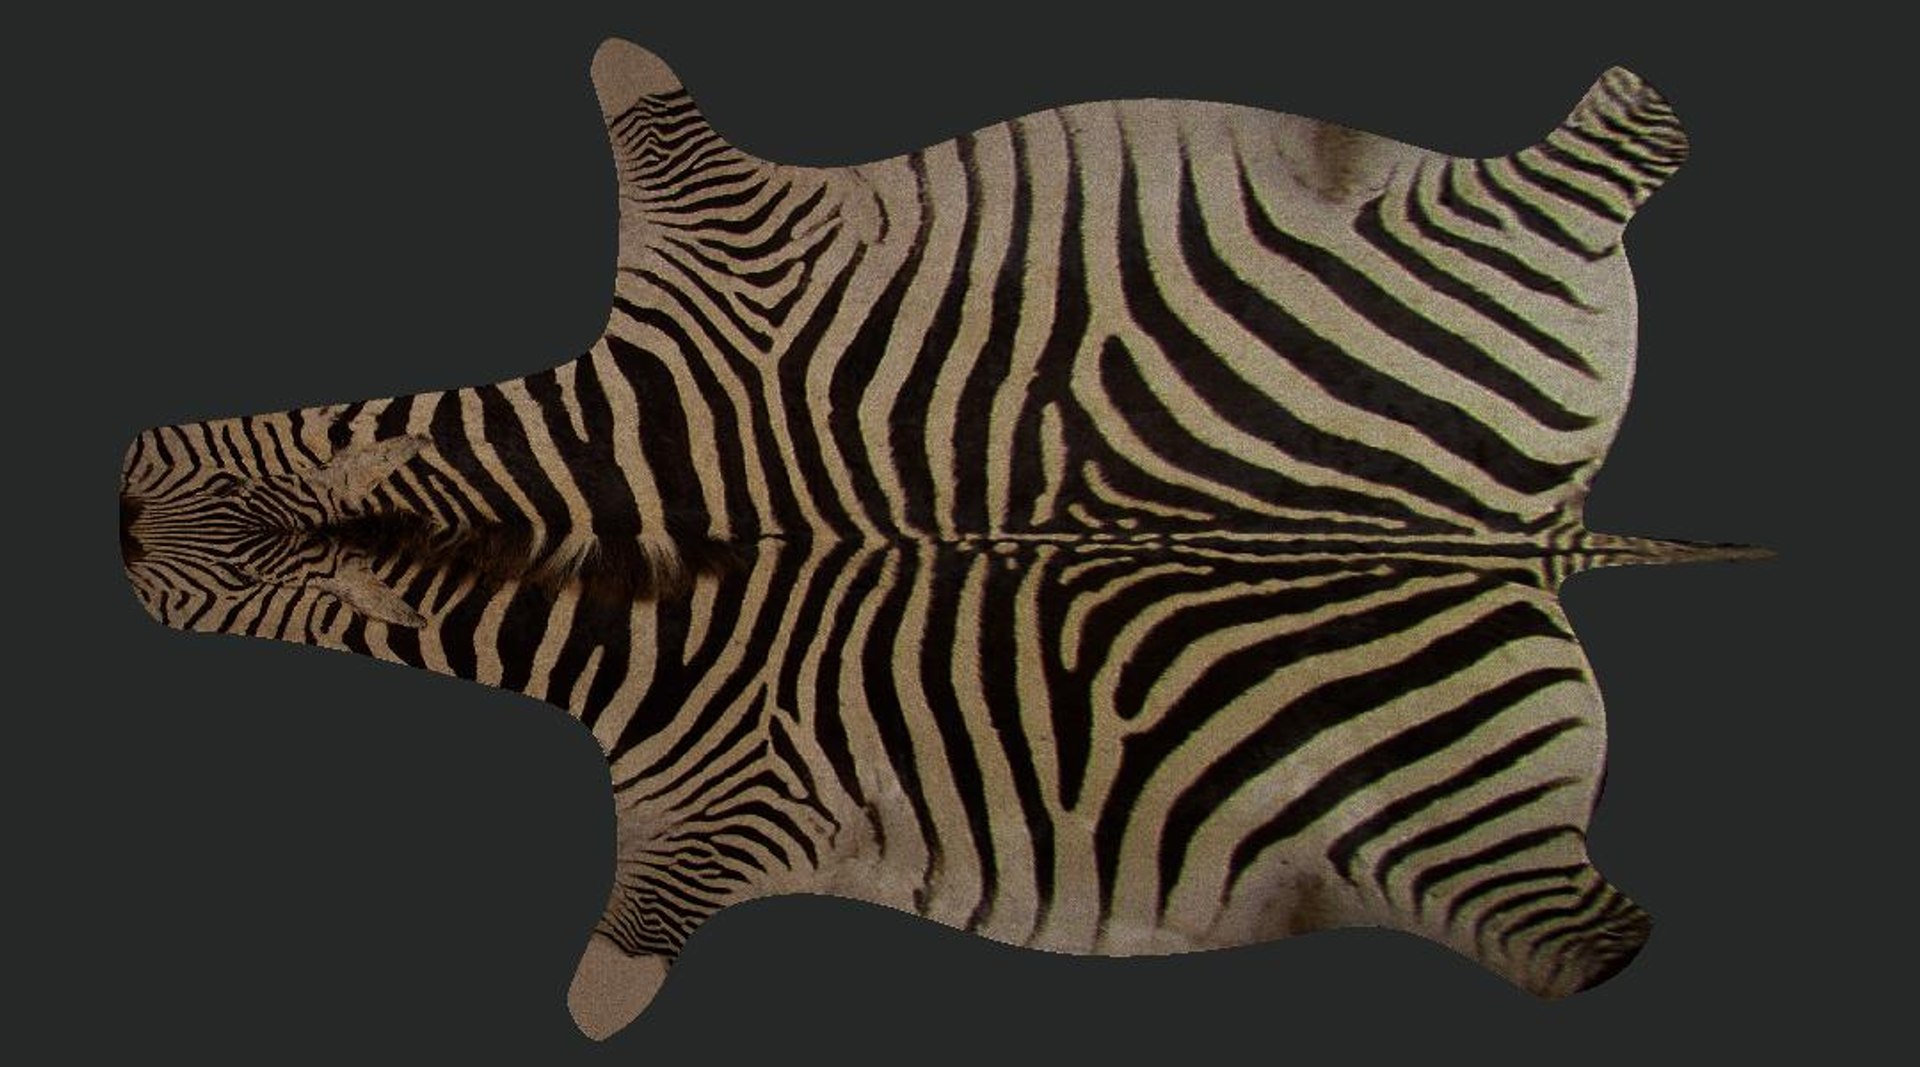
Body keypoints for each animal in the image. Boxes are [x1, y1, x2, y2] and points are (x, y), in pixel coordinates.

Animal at [118, 39, 1758, 1039]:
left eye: (341, 432)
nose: (119, 509)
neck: (586, 511)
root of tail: (1534, 538)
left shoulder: (711, 791)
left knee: (1619, 133)